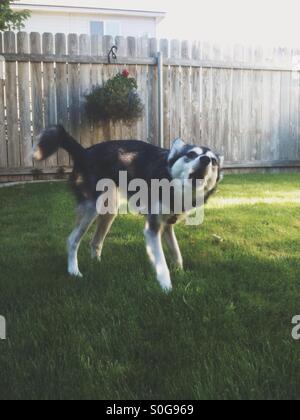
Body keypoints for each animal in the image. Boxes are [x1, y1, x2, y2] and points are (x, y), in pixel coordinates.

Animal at [34, 125, 223, 292]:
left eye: (213, 161)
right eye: (191, 154)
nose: (205, 160)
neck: (169, 180)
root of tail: (84, 152)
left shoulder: (167, 225)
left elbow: (177, 253)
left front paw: (181, 273)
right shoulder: (152, 229)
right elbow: (161, 263)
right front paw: (167, 288)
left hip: (110, 209)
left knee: (95, 242)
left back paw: (97, 265)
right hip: (91, 208)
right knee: (72, 240)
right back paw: (74, 271)